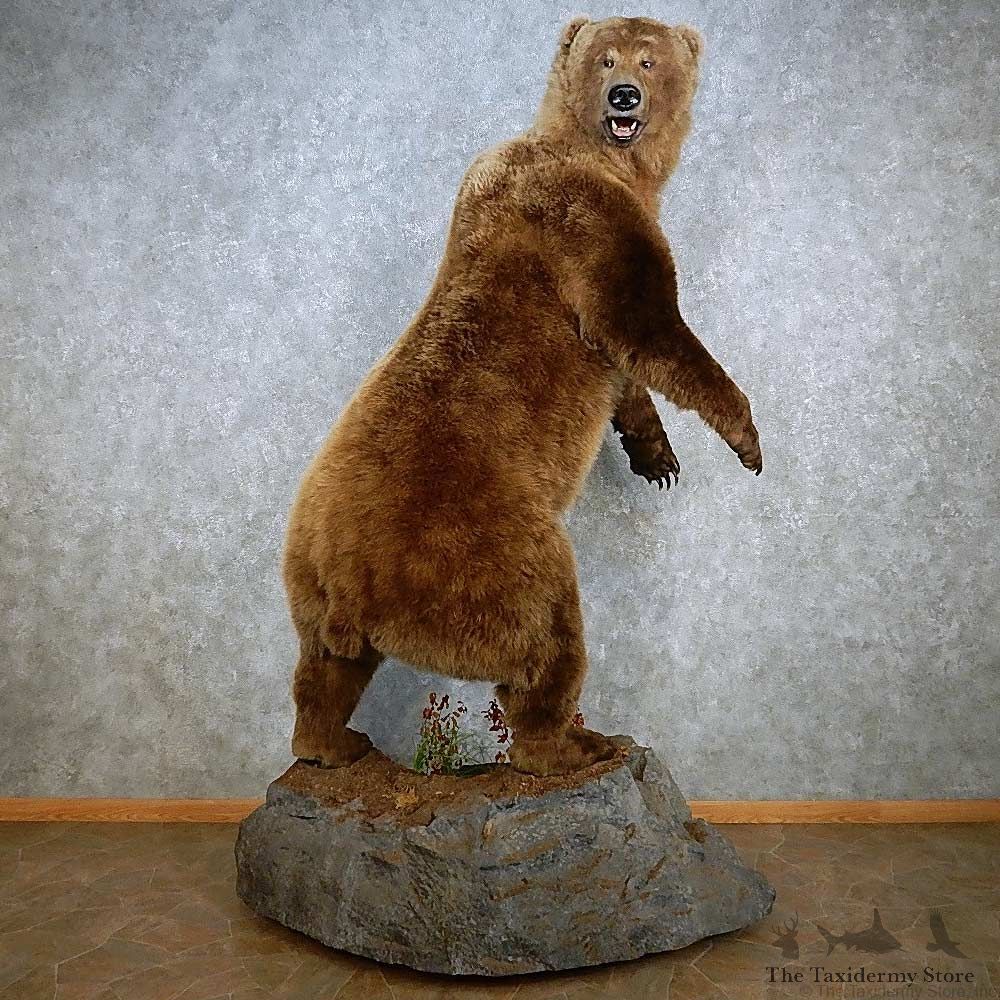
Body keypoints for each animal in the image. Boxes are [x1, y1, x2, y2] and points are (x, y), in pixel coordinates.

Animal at [282, 16, 763, 777]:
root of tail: (349, 575)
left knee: (323, 671)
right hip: (481, 556)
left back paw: (333, 744)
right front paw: (746, 437)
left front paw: (656, 457)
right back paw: (578, 745)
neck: (609, 162)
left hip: (310, 587)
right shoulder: (589, 218)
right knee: (543, 637)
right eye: (607, 59)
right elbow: (645, 324)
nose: (624, 97)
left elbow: (623, 366)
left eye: (648, 60)